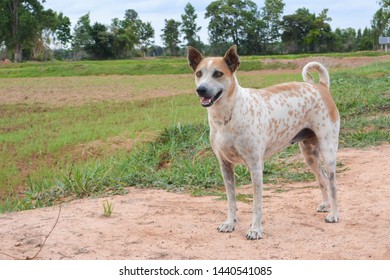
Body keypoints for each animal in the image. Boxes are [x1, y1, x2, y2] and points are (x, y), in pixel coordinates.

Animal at [187, 44, 340, 240]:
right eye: (199, 73)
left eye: (218, 73)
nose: (201, 89)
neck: (227, 116)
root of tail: (320, 86)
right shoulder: (225, 166)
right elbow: (231, 200)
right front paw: (230, 223)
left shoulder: (255, 167)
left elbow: (257, 204)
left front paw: (255, 229)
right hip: (309, 154)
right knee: (322, 179)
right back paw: (326, 205)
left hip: (328, 150)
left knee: (332, 183)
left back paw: (334, 214)